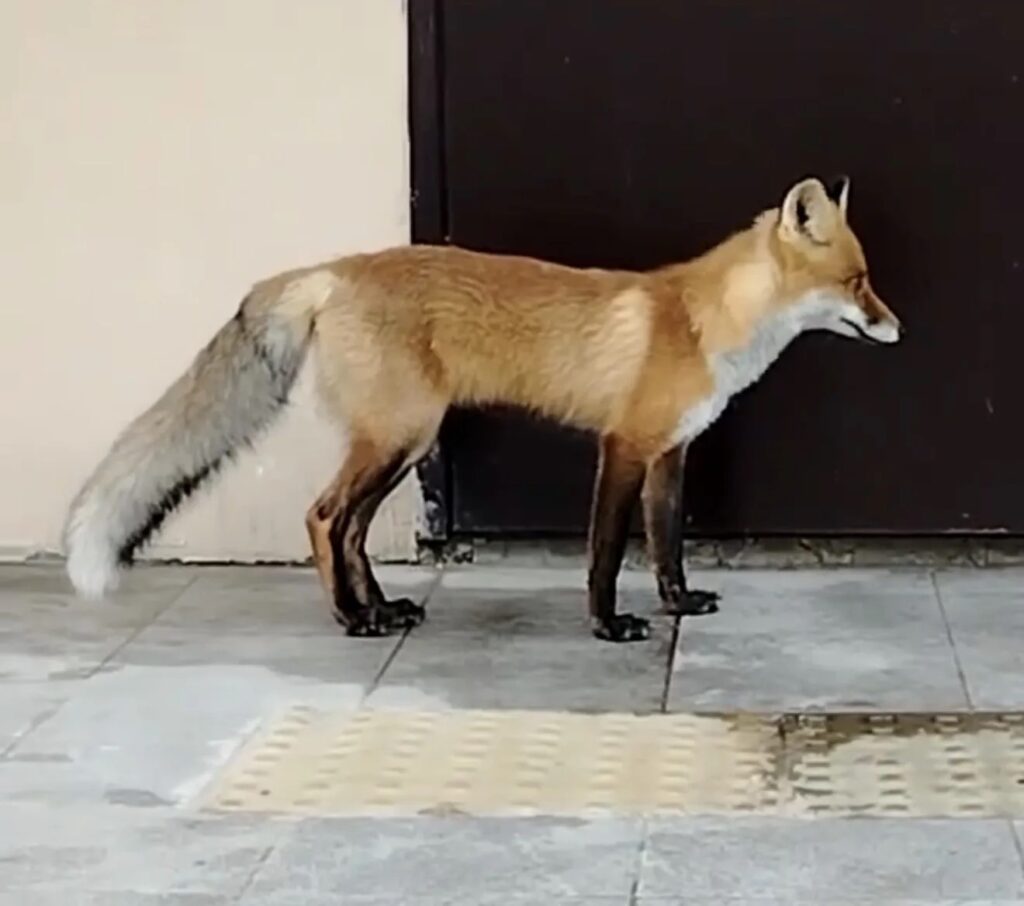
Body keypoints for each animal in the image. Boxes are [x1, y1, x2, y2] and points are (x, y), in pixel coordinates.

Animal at [63, 175, 901, 642]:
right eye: (858, 282)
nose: (899, 328)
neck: (702, 325)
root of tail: (333, 269)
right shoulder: (623, 445)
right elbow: (605, 554)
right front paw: (607, 627)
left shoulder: (671, 452)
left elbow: (667, 545)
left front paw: (678, 604)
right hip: (397, 437)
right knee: (324, 518)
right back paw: (351, 620)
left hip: (404, 445)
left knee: (353, 530)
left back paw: (382, 609)